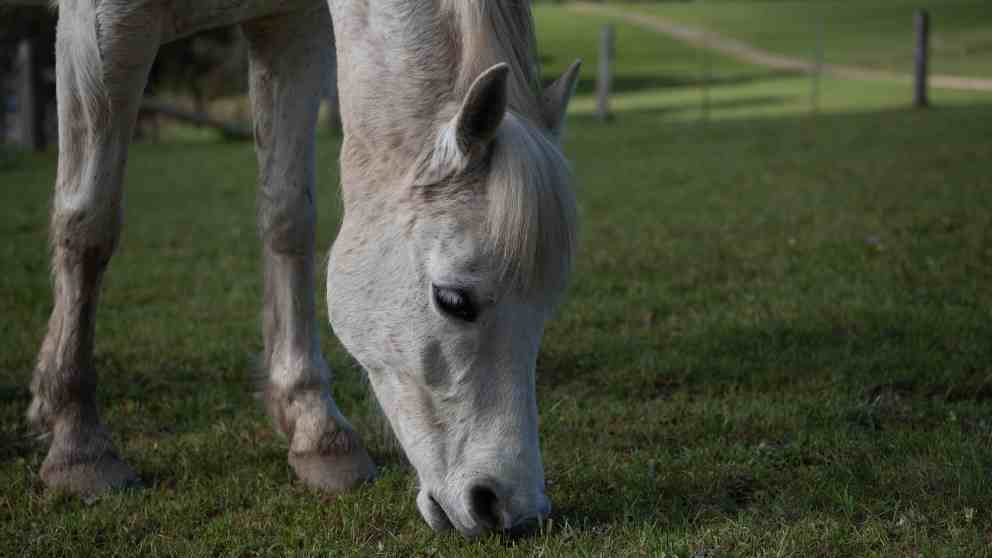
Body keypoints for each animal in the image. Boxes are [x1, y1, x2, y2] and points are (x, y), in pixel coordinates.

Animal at [31, 1, 580, 544]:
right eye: (453, 300)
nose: (511, 509)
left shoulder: (288, 26)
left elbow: (288, 216)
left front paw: (316, 428)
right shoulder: (100, 26)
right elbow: (88, 224)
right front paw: (78, 445)